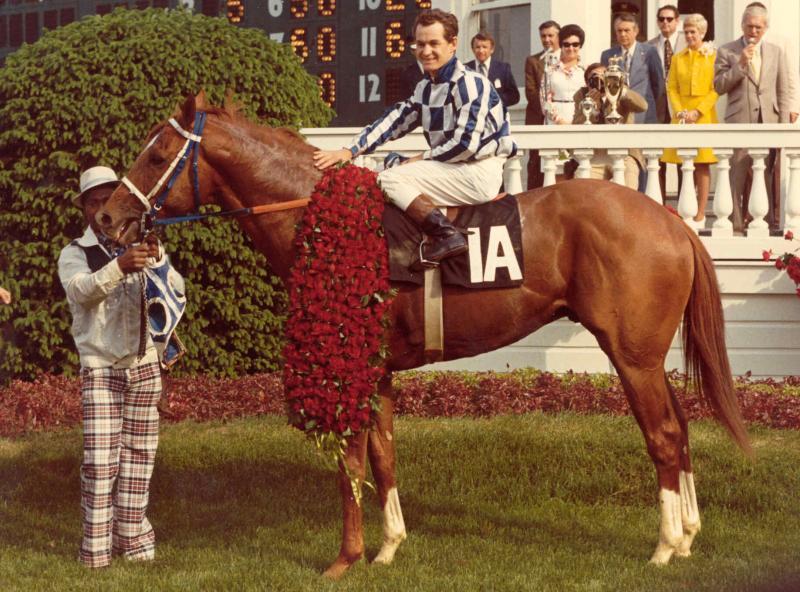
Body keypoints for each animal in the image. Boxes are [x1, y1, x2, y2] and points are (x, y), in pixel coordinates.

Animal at [100, 93, 752, 580]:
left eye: (156, 153)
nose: (105, 218)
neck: (320, 220)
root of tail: (670, 219)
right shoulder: (381, 369)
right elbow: (384, 456)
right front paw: (389, 547)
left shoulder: (348, 364)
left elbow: (350, 462)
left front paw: (345, 559)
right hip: (648, 356)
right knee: (681, 427)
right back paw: (688, 536)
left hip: (631, 355)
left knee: (663, 435)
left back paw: (664, 546)